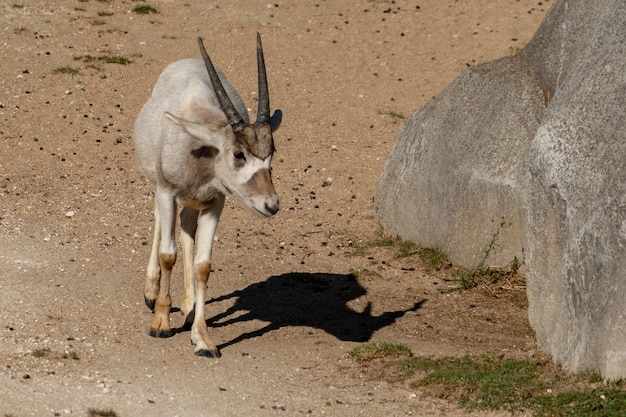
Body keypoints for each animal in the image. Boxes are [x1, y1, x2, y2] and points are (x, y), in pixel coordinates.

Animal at [133, 34, 282, 356]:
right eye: (238, 154)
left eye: (271, 154)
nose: (271, 204)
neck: (201, 147)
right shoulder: (167, 192)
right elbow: (168, 254)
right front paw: (160, 322)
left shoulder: (216, 201)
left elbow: (203, 266)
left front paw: (202, 338)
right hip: (159, 188)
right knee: (160, 220)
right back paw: (151, 292)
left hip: (194, 201)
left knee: (187, 225)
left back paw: (189, 306)